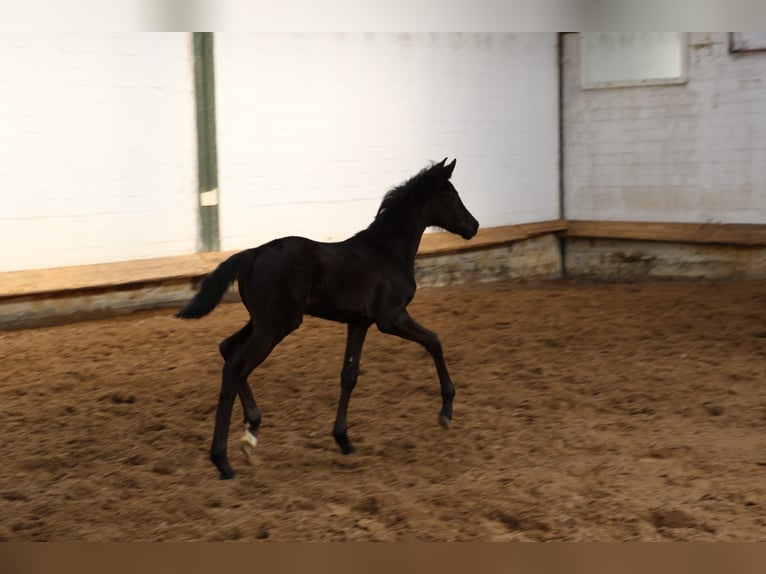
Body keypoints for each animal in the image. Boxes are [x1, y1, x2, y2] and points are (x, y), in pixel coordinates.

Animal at [177, 159, 484, 482]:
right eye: (451, 197)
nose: (473, 226)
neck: (388, 251)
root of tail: (252, 254)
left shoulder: (359, 322)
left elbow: (349, 375)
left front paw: (343, 439)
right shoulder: (392, 318)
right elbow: (434, 341)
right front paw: (446, 411)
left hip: (262, 322)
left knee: (227, 348)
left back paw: (252, 430)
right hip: (275, 327)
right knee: (235, 366)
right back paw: (223, 460)